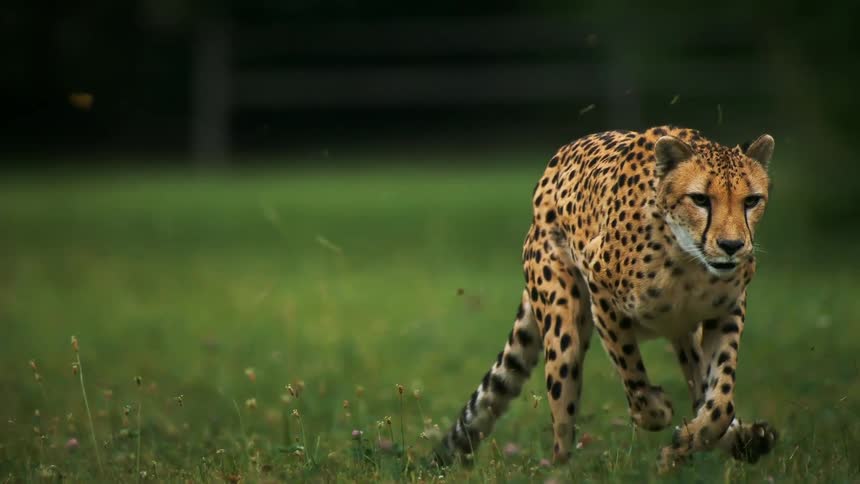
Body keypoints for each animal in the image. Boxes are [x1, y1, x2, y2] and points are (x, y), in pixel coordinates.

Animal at [435, 126, 779, 471]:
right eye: (700, 199)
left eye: (751, 200)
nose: (732, 246)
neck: (688, 260)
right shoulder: (599, 287)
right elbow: (631, 370)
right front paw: (658, 410)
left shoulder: (727, 309)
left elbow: (720, 401)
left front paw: (690, 440)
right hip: (563, 329)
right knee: (562, 426)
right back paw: (563, 469)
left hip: (683, 333)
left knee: (701, 389)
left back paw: (746, 438)